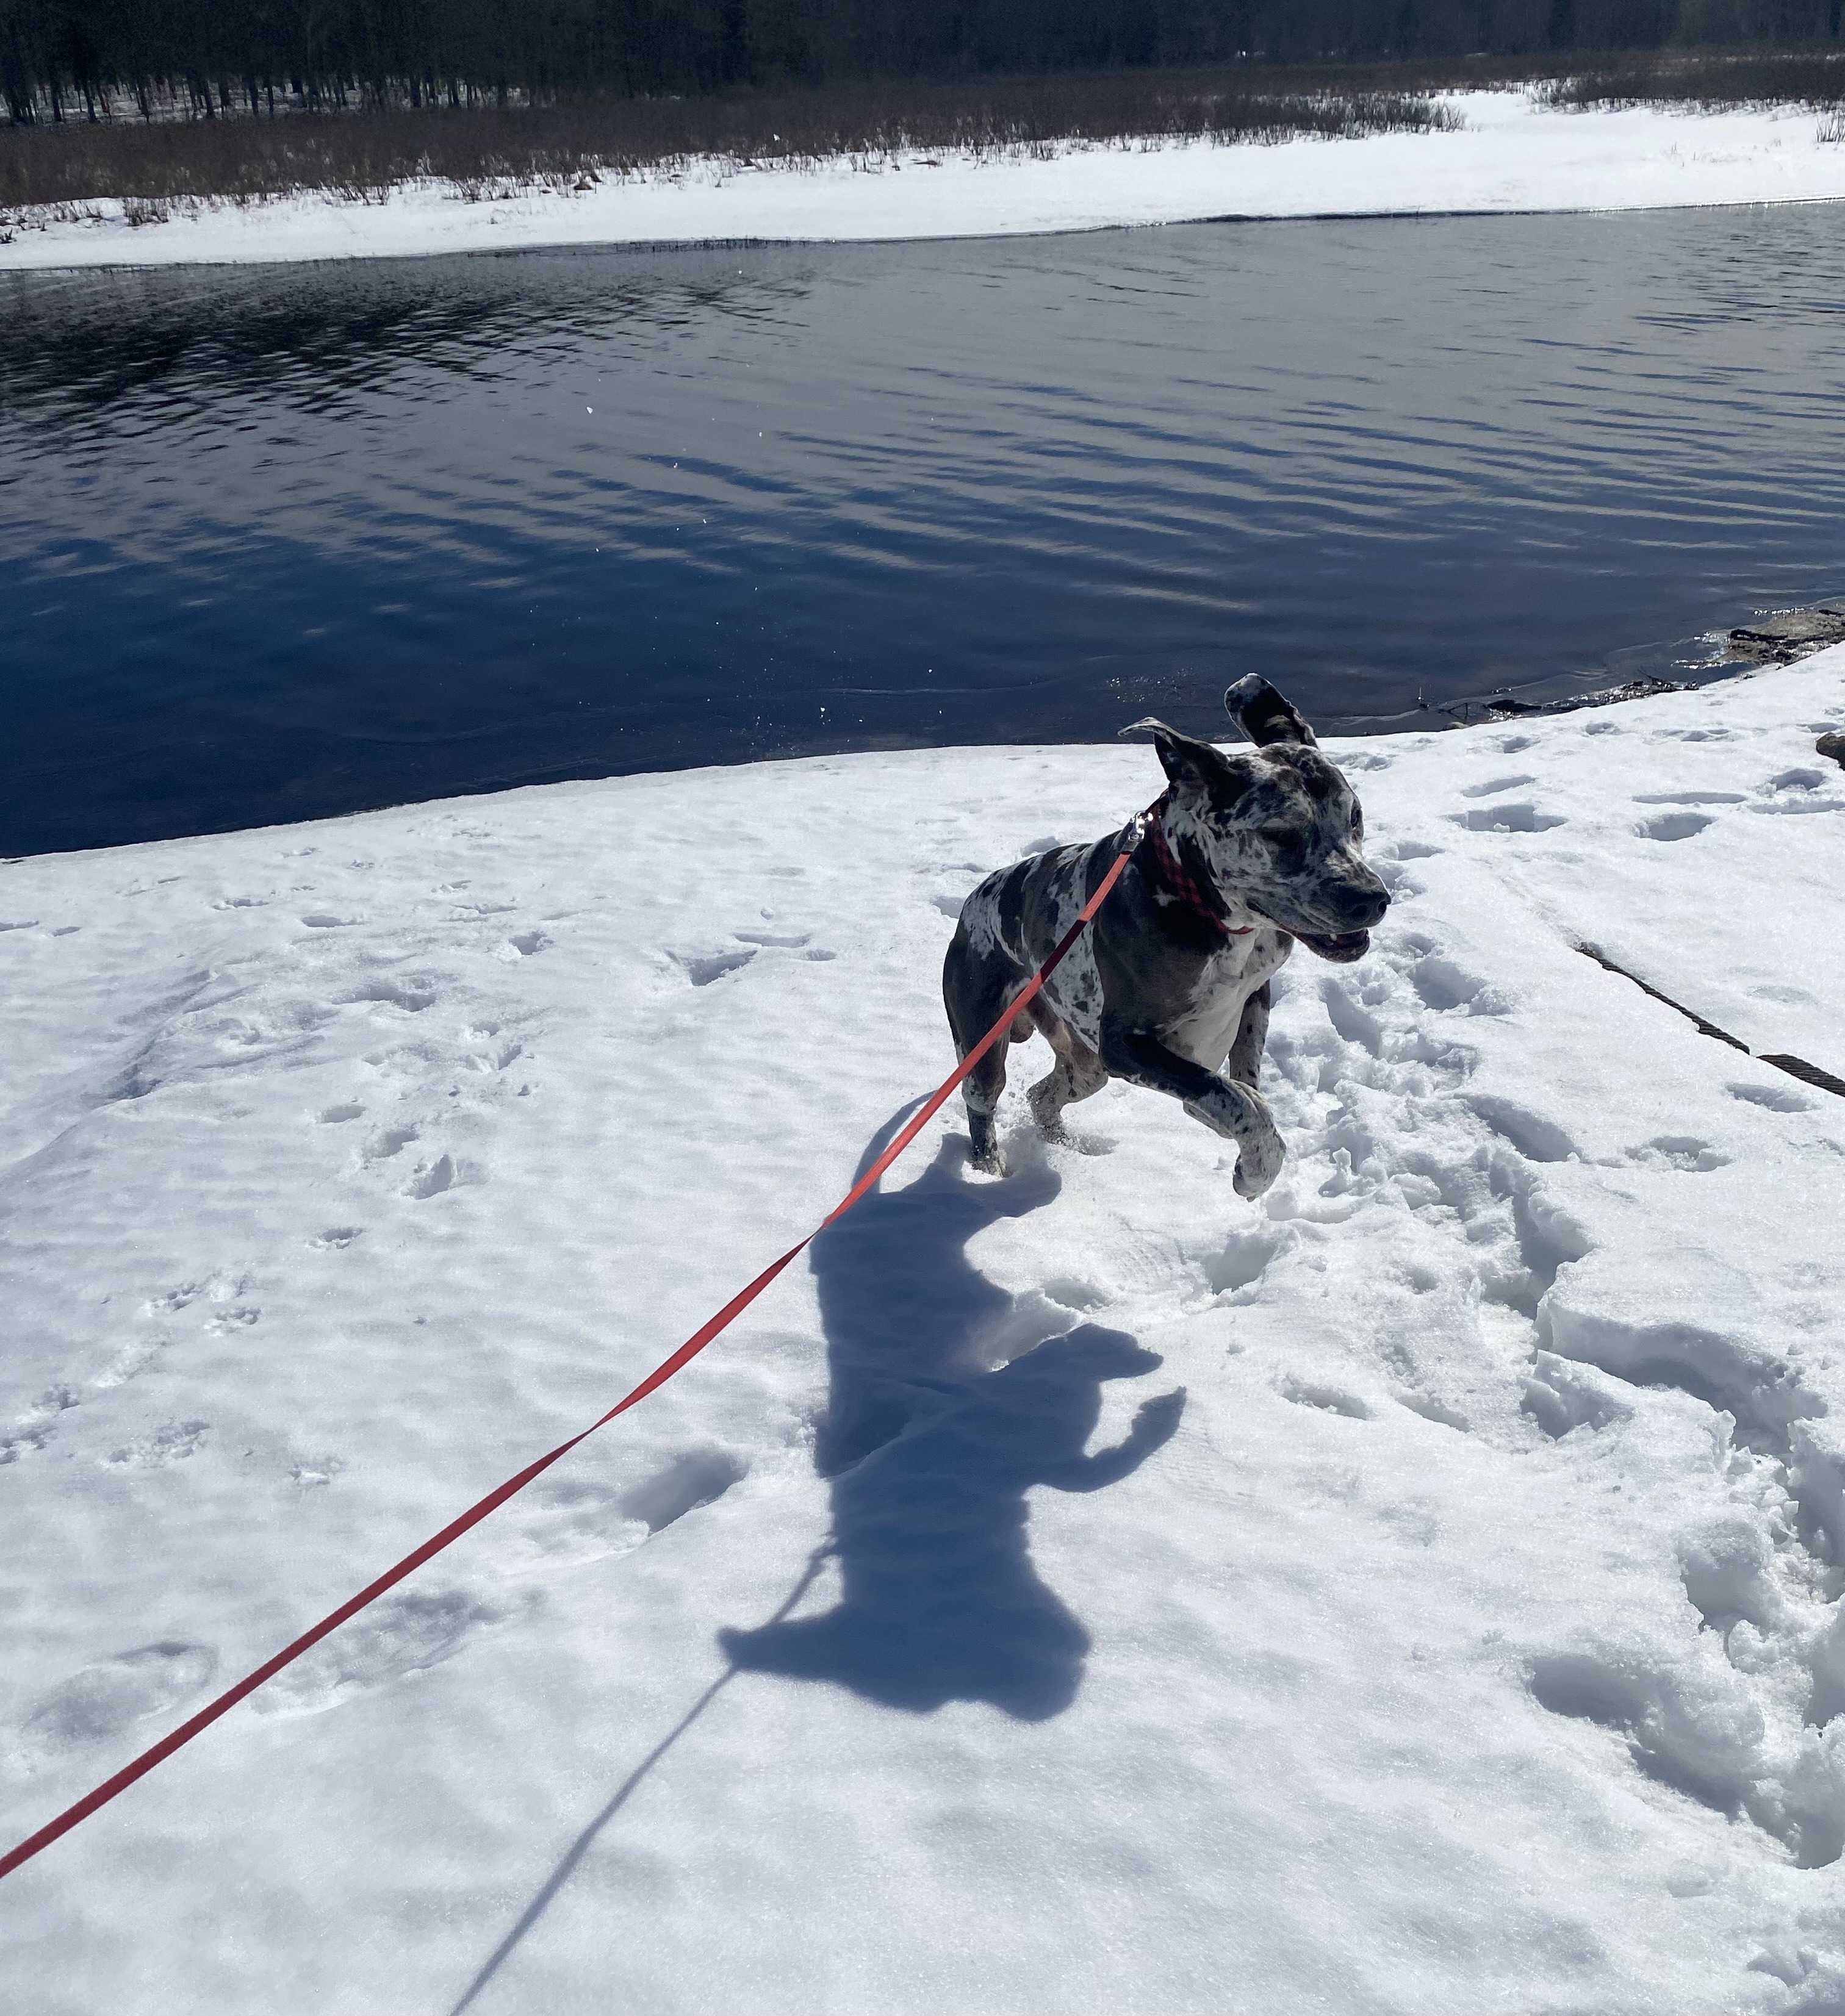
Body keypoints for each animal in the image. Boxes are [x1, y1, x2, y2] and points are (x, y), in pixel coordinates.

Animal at [942, 676, 1389, 1197]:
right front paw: (1255, 1166)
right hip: (983, 1040)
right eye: (1280, 833)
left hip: (1086, 1064)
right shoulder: (1126, 1043)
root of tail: (973, 903)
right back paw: (988, 1169)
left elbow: (1242, 1084)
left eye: (1355, 815)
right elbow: (1239, 1099)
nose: (1371, 898)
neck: (1204, 907)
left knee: (1042, 1094)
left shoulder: (1253, 995)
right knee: (982, 1105)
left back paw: (1066, 1148)